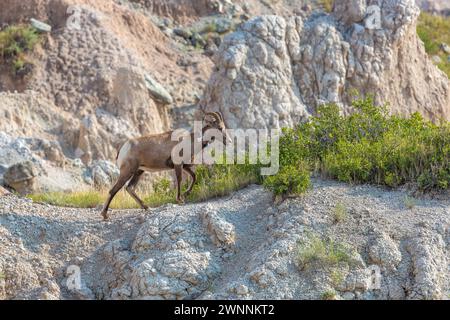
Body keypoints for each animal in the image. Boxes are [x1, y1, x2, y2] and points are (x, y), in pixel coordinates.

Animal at [100, 112, 230, 220]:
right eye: (220, 128)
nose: (228, 141)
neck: (190, 142)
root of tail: (124, 148)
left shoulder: (185, 166)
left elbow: (194, 177)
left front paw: (186, 194)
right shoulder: (178, 165)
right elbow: (179, 180)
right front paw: (180, 200)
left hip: (139, 171)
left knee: (130, 188)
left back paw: (146, 207)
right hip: (128, 171)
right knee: (114, 190)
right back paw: (105, 215)